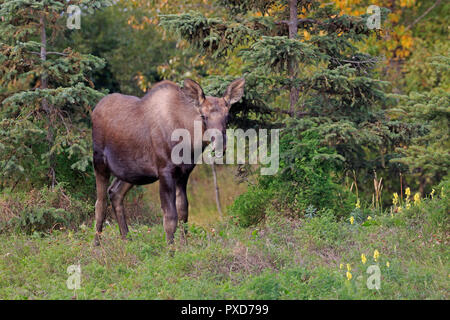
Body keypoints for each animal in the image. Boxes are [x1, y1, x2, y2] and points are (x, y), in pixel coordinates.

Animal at [92, 77, 246, 245]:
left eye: (227, 116)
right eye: (203, 116)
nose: (220, 145)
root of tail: (95, 109)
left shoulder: (184, 173)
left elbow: (183, 211)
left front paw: (184, 246)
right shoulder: (164, 170)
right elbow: (170, 217)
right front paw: (171, 249)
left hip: (131, 171)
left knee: (115, 193)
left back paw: (127, 240)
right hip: (99, 162)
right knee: (100, 203)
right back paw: (96, 244)